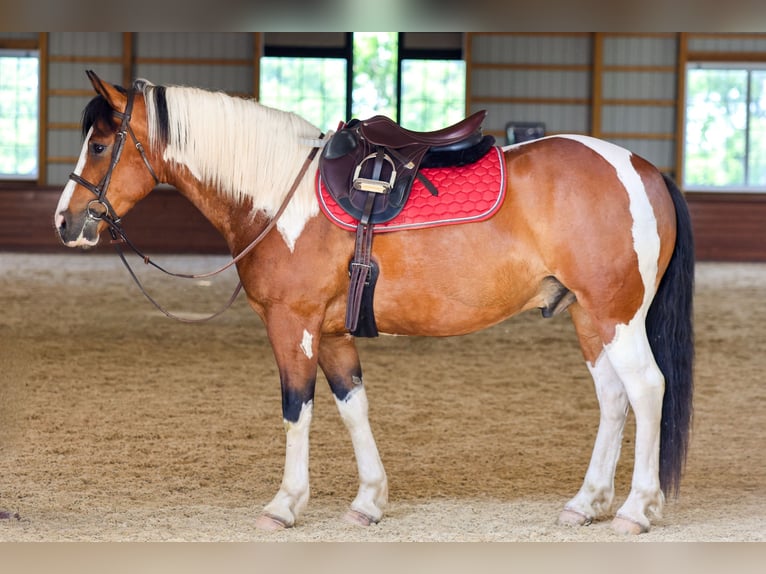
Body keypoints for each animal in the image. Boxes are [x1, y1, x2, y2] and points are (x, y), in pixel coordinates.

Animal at [54, 71, 694, 535]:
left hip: (617, 316)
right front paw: (368, 501)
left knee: (646, 390)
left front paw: (285, 504)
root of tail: (644, 169)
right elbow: (352, 406)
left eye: (101, 144)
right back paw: (586, 503)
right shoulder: (334, 334)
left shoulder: (293, 326)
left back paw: (637, 510)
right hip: (590, 318)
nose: (65, 221)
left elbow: (297, 409)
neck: (277, 194)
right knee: (613, 398)